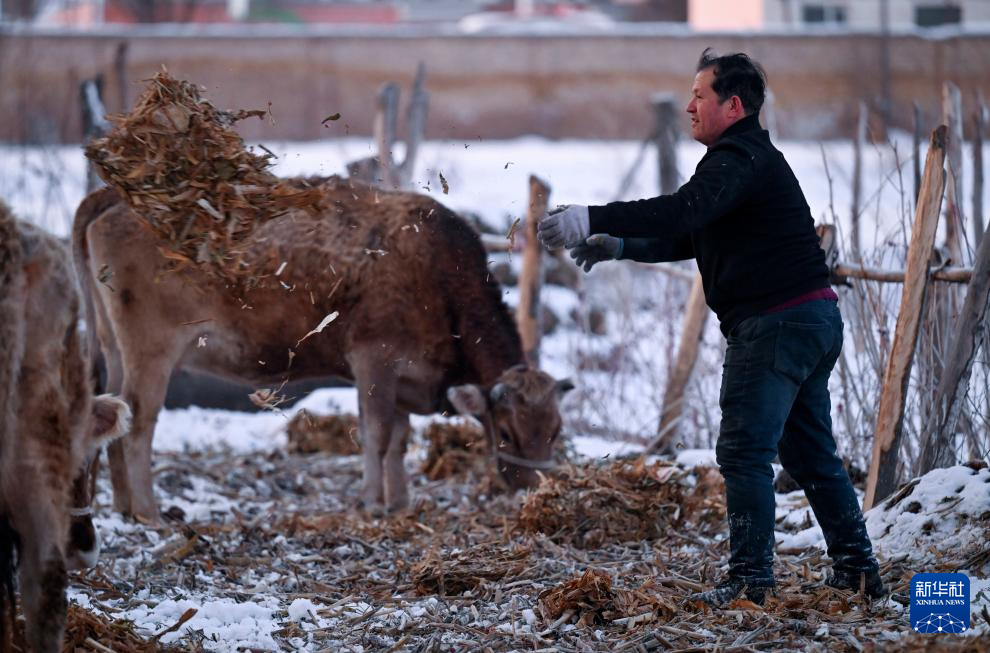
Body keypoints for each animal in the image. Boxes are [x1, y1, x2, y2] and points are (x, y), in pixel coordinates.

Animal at [72, 178, 572, 524]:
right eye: (505, 432)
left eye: (555, 431)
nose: (535, 488)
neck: (436, 273)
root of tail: (113, 193)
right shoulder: (374, 361)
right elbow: (377, 435)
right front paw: (373, 502)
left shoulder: (404, 378)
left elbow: (399, 440)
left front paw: (400, 501)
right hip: (151, 351)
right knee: (139, 422)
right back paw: (150, 512)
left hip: (115, 348)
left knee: (116, 414)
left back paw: (124, 507)